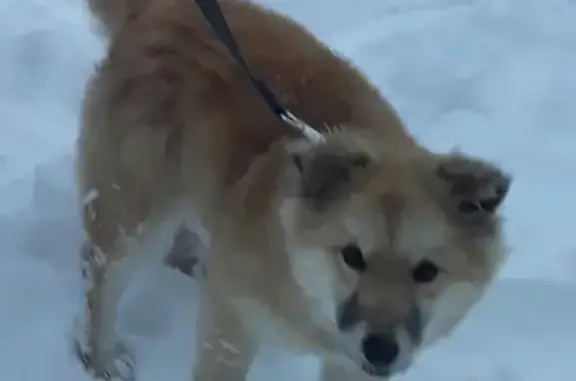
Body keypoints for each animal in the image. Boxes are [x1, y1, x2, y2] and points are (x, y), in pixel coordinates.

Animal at [75, 0, 512, 380]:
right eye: (353, 256)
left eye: (426, 271)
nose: (380, 349)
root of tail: (162, 7)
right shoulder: (230, 325)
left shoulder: (349, 365)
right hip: (134, 209)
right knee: (102, 282)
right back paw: (102, 355)